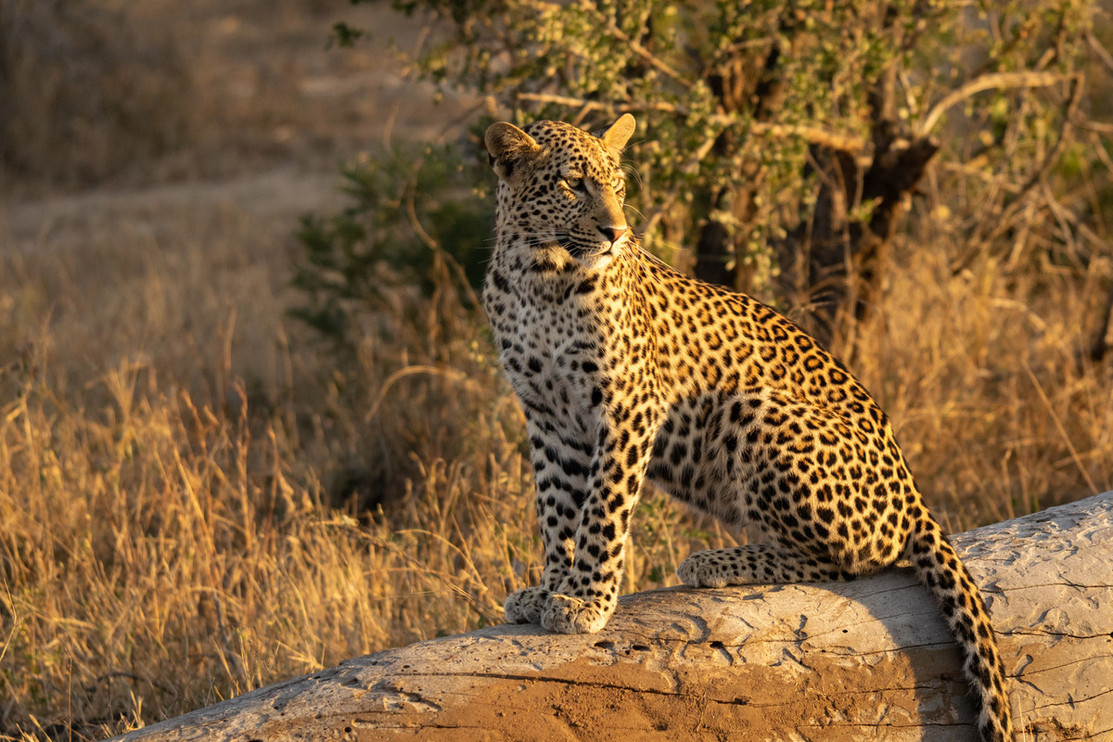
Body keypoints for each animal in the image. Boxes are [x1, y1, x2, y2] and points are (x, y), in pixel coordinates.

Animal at [482, 113, 1014, 741]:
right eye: (572, 185)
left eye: (618, 185)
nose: (617, 231)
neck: (540, 275)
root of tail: (913, 495)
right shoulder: (547, 416)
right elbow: (556, 512)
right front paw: (551, 589)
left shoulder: (627, 403)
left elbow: (601, 513)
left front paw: (585, 600)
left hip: (753, 408)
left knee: (852, 561)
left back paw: (713, 562)